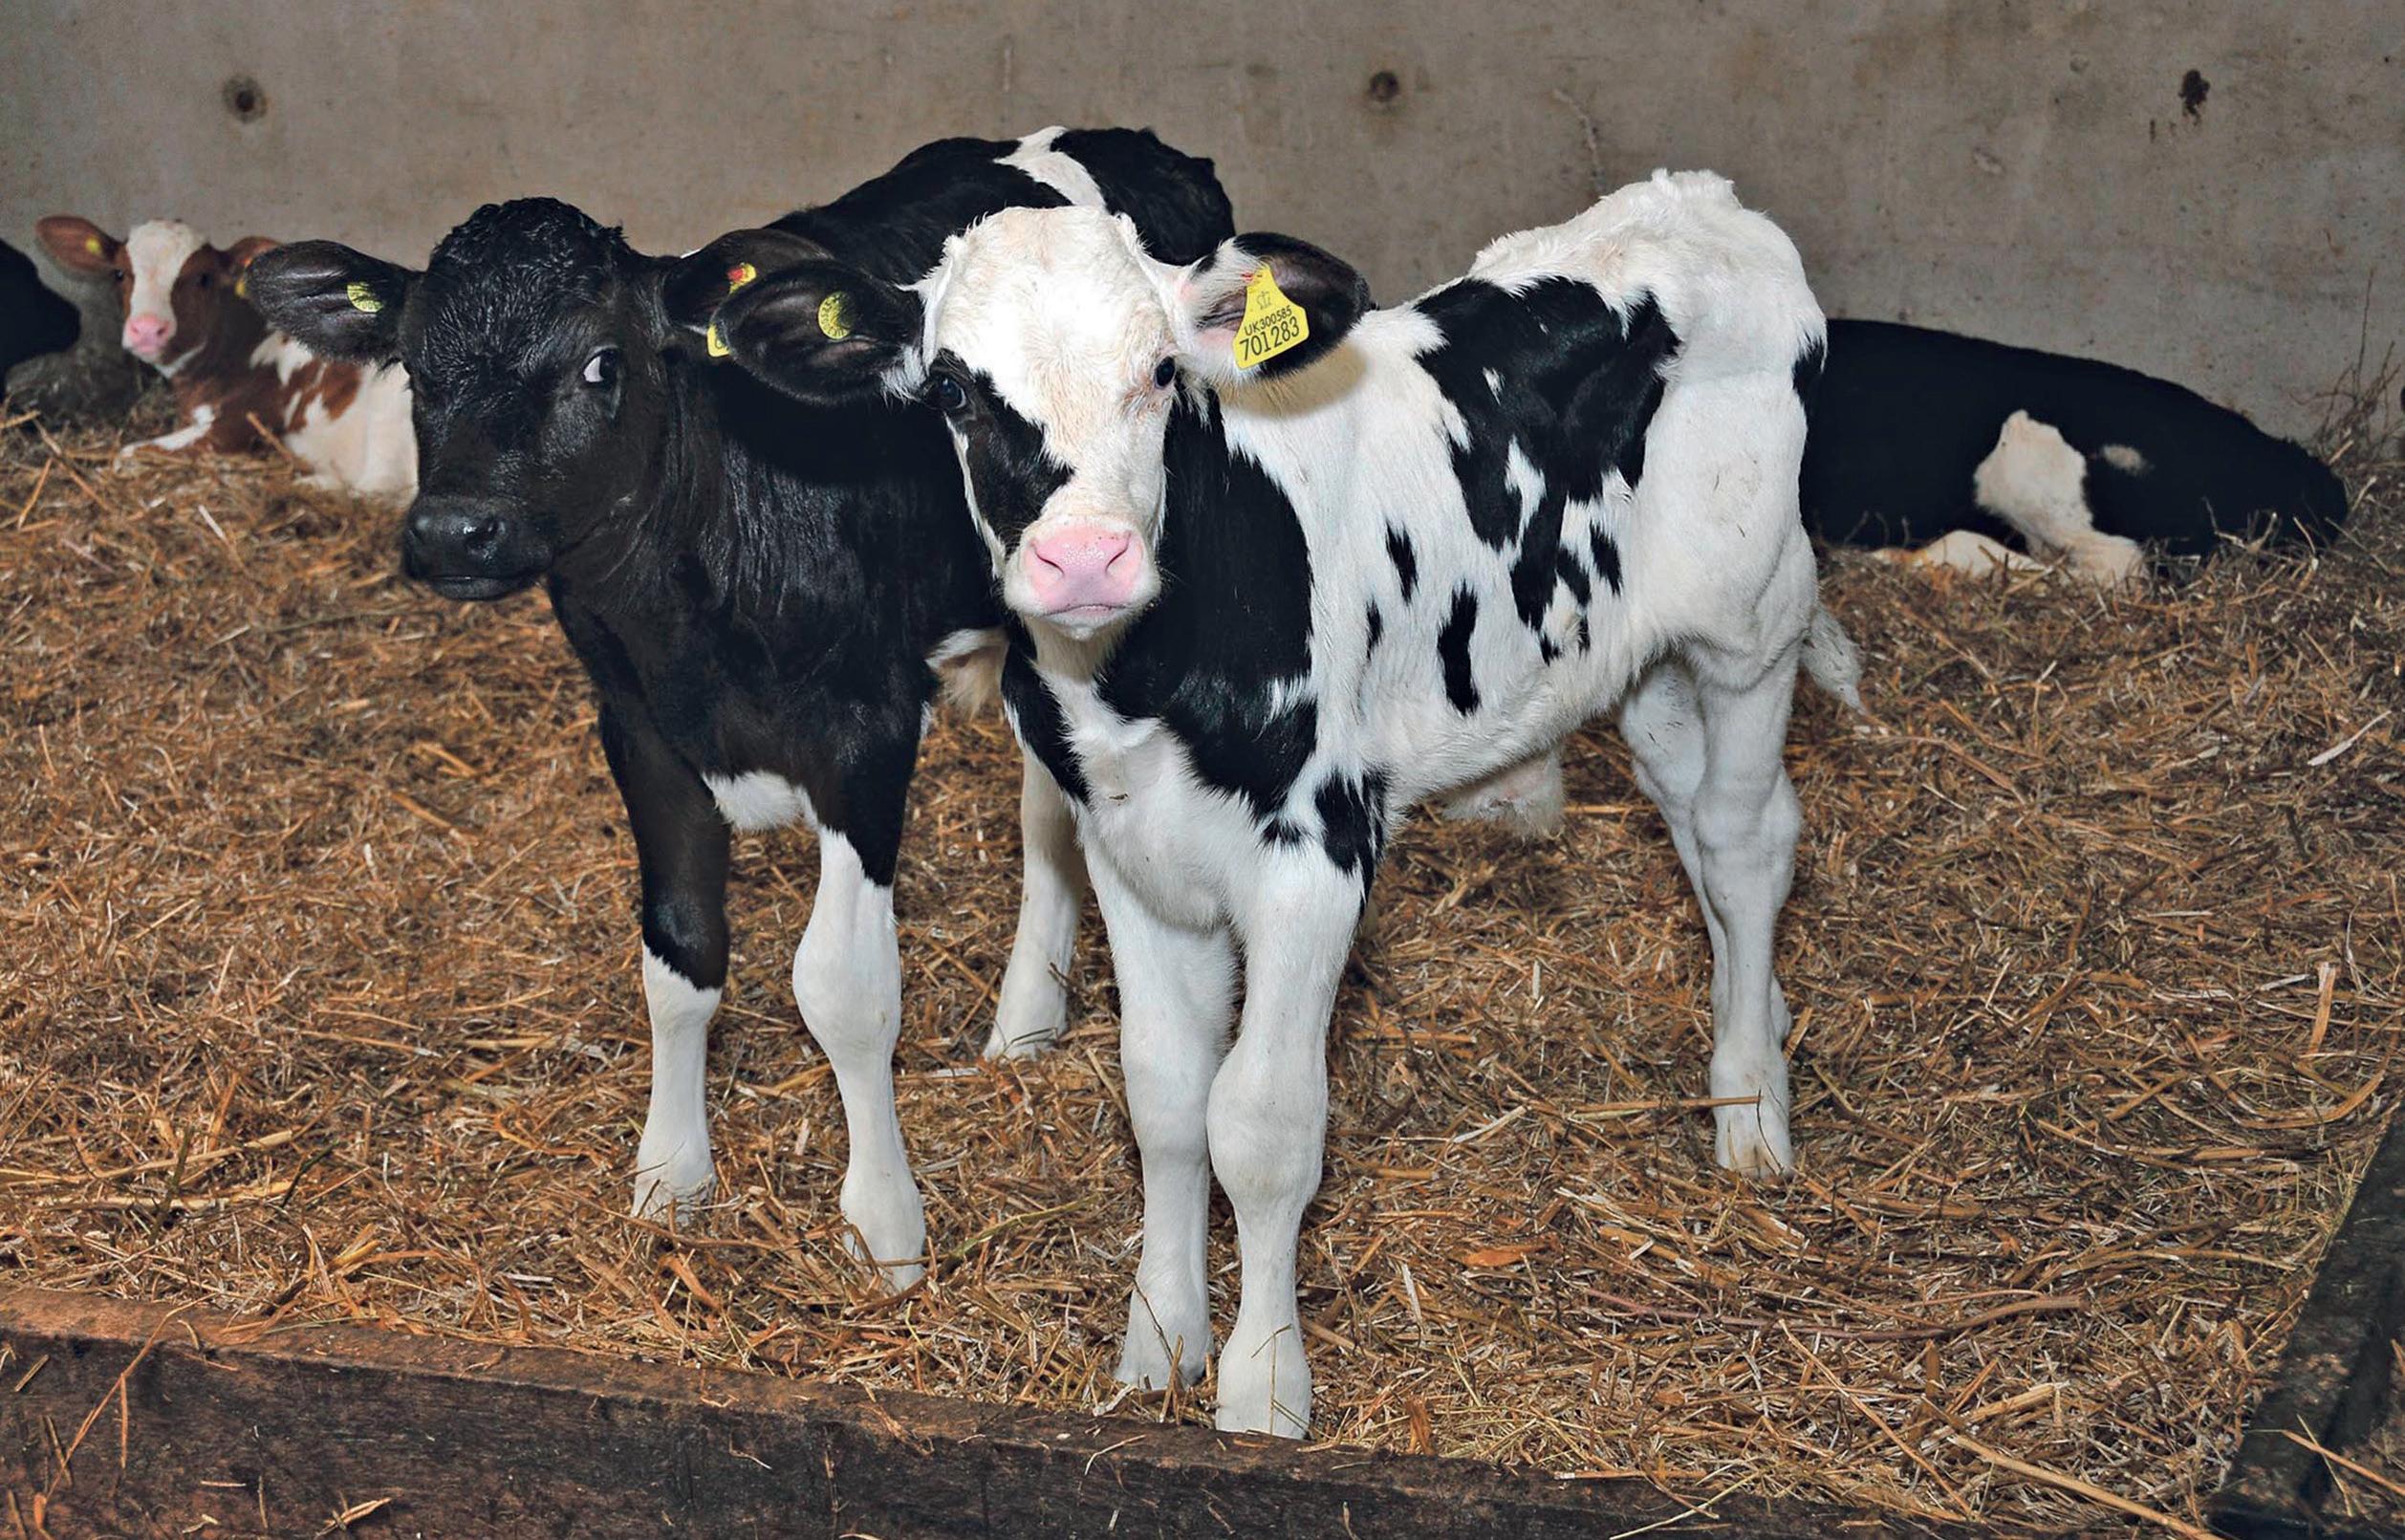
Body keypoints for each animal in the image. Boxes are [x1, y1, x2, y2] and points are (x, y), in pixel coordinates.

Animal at [34, 215, 415, 501]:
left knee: (373, 494)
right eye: (119, 273)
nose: (147, 329)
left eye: (203, 278)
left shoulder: (240, 420)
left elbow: (125, 455)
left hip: (388, 420)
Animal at [240, 128, 1233, 1290]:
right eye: (412, 363)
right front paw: (671, 1176)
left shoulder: (866, 733)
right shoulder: (638, 730)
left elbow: (843, 986)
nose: (453, 531)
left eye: (601, 363)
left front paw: (884, 1227)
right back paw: (1027, 1019)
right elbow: (680, 954)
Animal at [714, 170, 1853, 1433]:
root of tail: (1700, 201)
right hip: (1627, 660)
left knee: (1746, 839)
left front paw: (1262, 1390)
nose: (1085, 559)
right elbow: (1164, 1097)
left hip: (1753, 625)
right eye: (954, 388)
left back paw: (1748, 1113)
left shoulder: (1319, 848)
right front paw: (1161, 1339)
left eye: (1164, 371)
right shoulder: (1133, 851)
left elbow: (1258, 1125)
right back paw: (1765, 1036)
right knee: (1687, 813)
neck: (1140, 673)